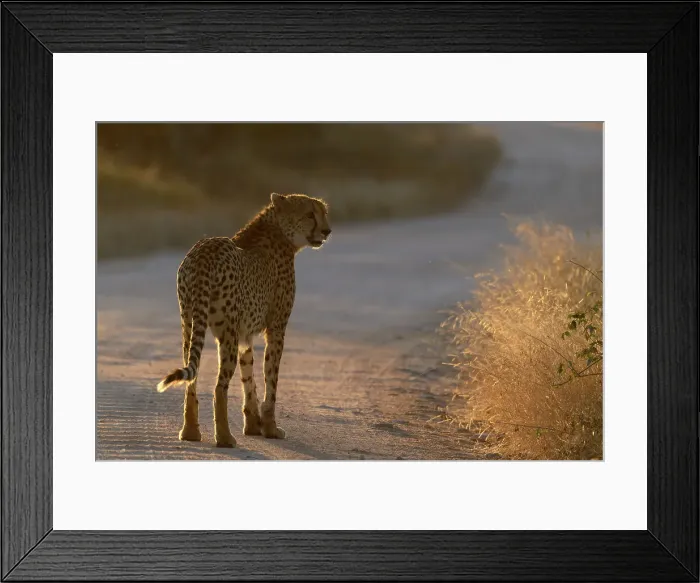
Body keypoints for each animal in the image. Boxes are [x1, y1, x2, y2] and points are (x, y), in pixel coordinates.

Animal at [156, 192, 331, 448]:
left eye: (323, 213)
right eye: (310, 214)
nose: (327, 231)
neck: (279, 231)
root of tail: (204, 249)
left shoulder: (244, 335)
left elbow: (249, 379)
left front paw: (253, 425)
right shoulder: (276, 328)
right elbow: (270, 380)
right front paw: (270, 428)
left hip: (189, 324)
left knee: (191, 380)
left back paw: (190, 432)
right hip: (226, 333)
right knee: (219, 387)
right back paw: (224, 438)